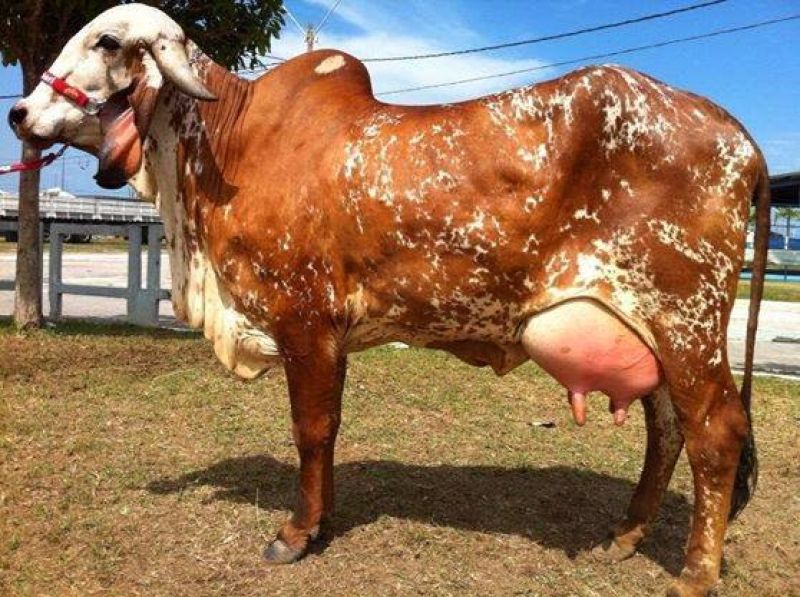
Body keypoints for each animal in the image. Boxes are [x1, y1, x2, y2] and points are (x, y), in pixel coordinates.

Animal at [8, 5, 770, 596]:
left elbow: (311, 429)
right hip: (653, 330)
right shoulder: (329, 334)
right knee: (667, 428)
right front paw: (323, 521)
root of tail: (738, 135)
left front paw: (297, 532)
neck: (228, 147)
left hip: (687, 319)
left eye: (106, 42)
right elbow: (329, 429)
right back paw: (626, 532)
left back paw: (695, 572)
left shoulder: (304, 320)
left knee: (715, 433)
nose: (18, 112)